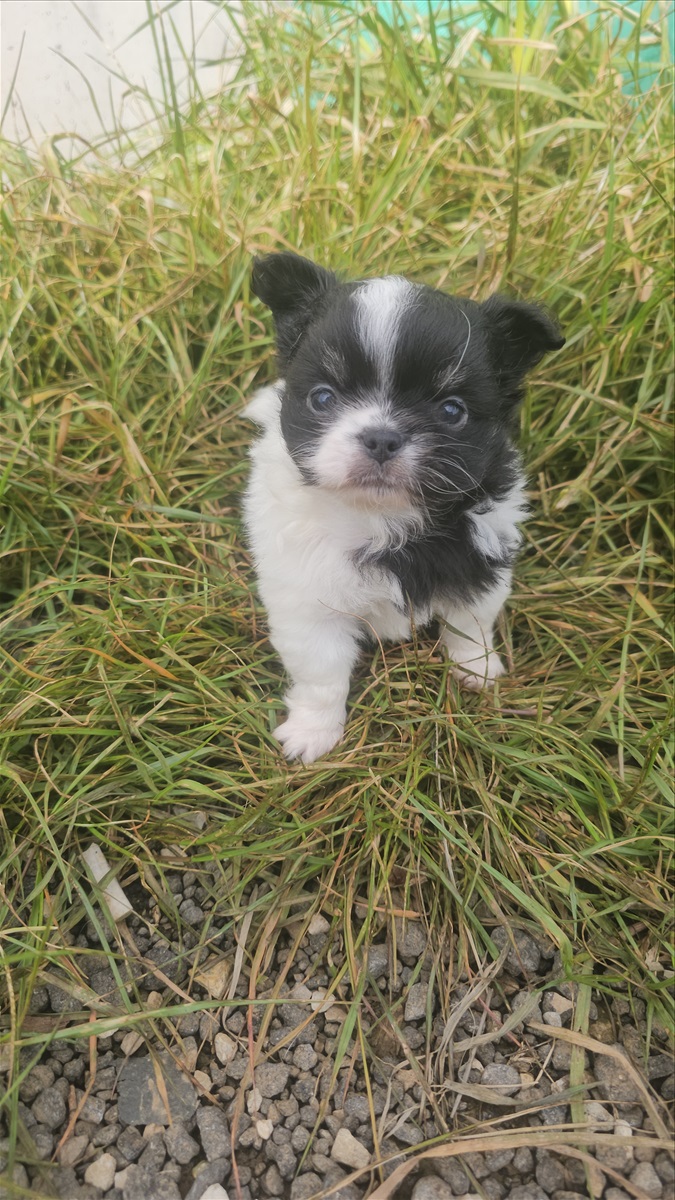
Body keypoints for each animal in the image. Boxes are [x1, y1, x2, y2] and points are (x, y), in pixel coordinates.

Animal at [242, 248, 562, 763]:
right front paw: (314, 733)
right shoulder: (307, 600)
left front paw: (478, 672)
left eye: (452, 411)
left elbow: (470, 625)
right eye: (322, 399)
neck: (381, 517)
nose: (381, 437)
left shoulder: (481, 566)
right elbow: (321, 675)